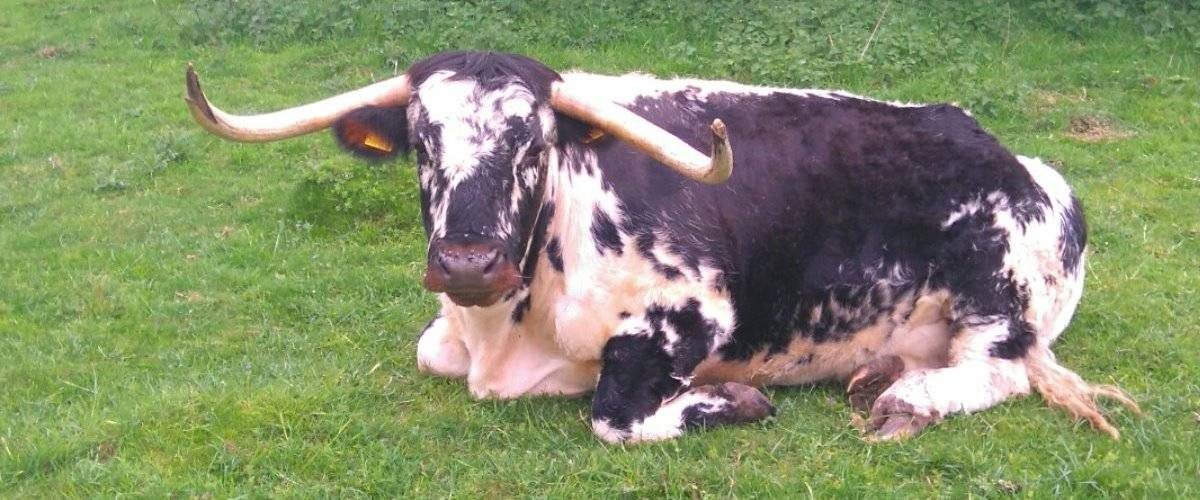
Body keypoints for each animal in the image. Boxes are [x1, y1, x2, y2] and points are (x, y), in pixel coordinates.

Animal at [182, 49, 1137, 441]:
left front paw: (732, 403)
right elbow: (429, 352)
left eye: (534, 144)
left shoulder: (691, 315)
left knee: (1004, 370)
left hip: (994, 289)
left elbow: (613, 414)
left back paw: (909, 399)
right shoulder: (446, 336)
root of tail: (1014, 158)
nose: (467, 264)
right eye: (421, 142)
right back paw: (883, 375)